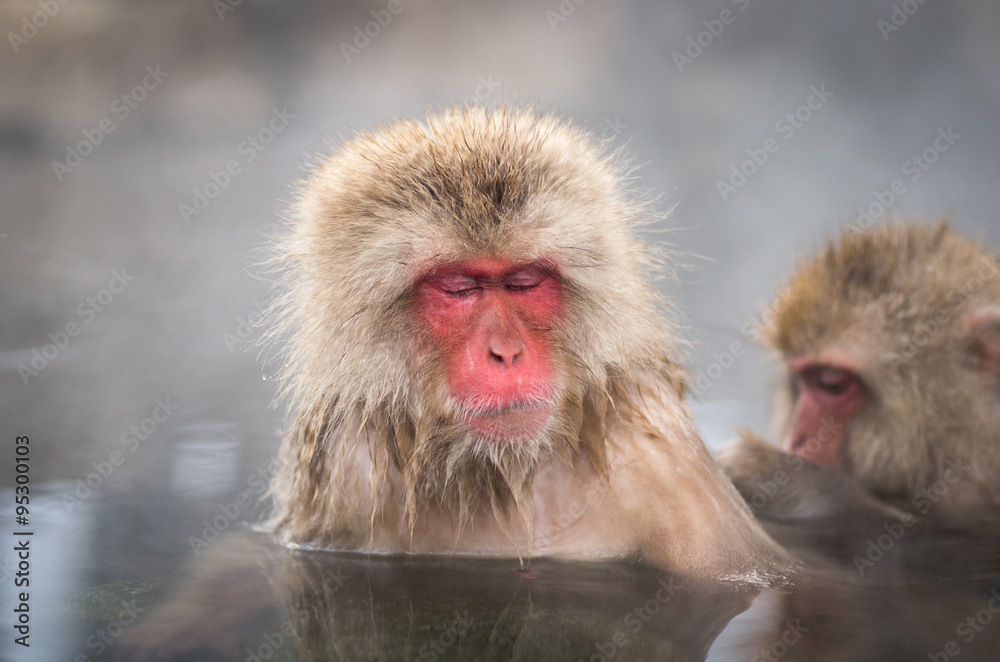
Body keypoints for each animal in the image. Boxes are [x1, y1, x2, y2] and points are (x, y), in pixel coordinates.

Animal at [262, 105, 792, 582]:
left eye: (524, 280)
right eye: (457, 287)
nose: (506, 353)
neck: (501, 472)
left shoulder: (669, 463)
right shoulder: (344, 466)